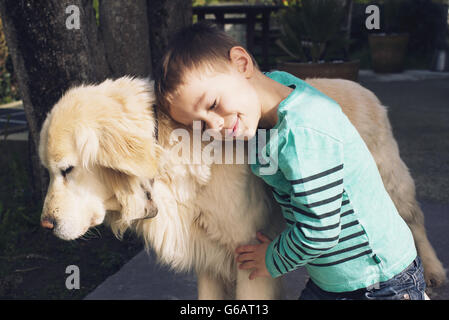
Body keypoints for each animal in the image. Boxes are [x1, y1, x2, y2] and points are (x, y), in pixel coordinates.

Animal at [38, 76, 444, 298]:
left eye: (67, 170)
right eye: (49, 171)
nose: (45, 225)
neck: (165, 153)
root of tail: (360, 85)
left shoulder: (249, 254)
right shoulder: (207, 256)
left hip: (392, 184)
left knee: (414, 222)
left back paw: (433, 270)